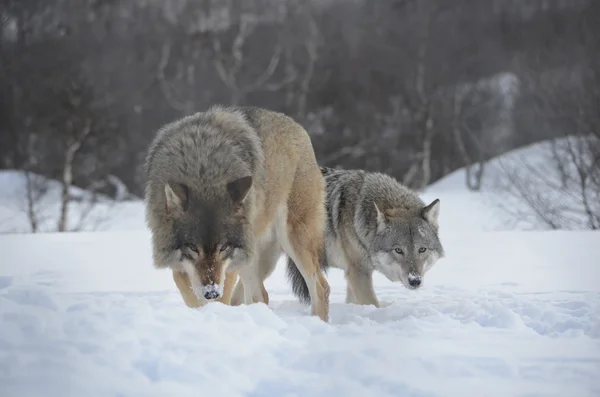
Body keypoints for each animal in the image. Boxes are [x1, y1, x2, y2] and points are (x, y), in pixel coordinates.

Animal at [146, 104, 332, 318]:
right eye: (193, 248)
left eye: (223, 247)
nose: (211, 292)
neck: (203, 170)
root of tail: (298, 127)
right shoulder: (180, 261)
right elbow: (184, 284)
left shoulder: (231, 261)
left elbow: (221, 297)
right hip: (255, 254)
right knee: (261, 295)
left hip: (291, 240)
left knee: (321, 288)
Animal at [284, 166, 442, 308]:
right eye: (398, 250)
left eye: (422, 249)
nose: (415, 280)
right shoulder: (359, 272)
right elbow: (373, 304)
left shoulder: (352, 273)